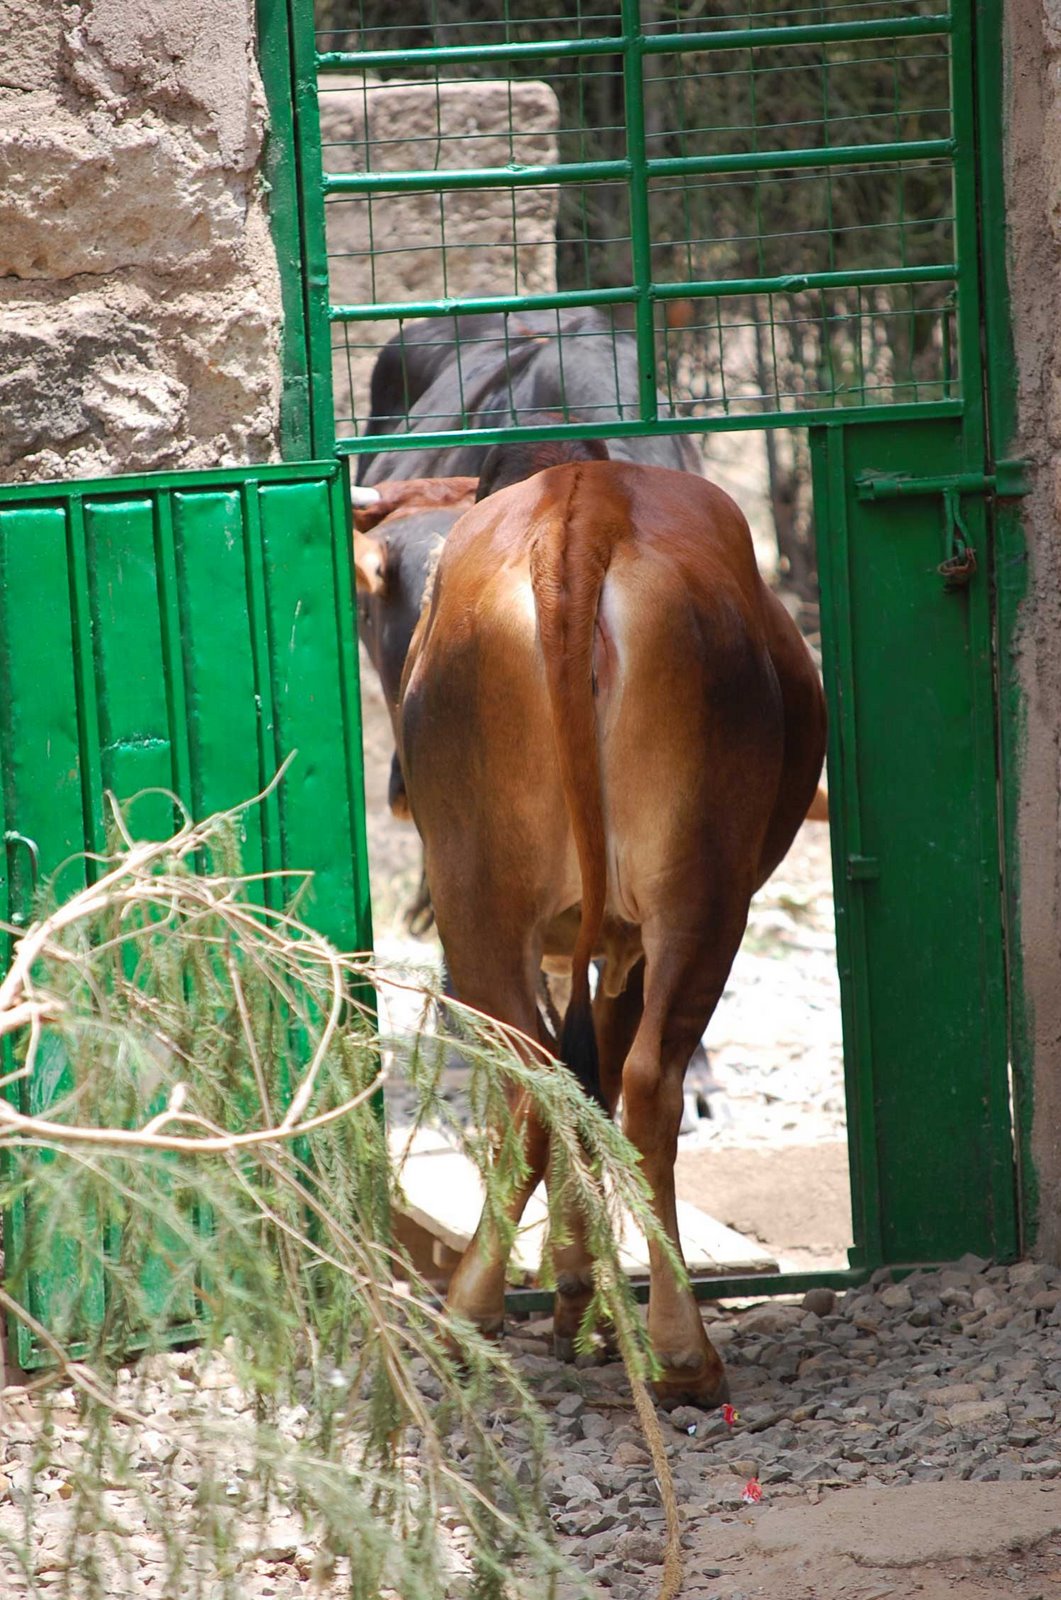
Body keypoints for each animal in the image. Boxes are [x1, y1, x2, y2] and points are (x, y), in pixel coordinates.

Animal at [395, 455, 827, 1407]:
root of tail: (583, 499)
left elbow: (576, 1076)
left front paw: (570, 1289)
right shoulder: (624, 942)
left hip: (476, 896)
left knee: (541, 1079)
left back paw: (470, 1318)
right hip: (700, 897)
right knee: (645, 1083)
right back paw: (681, 1355)